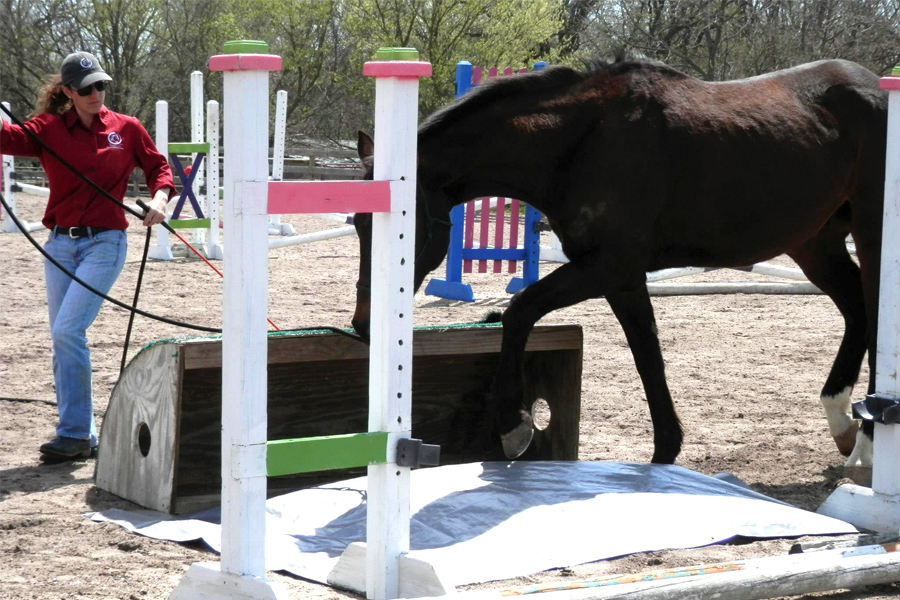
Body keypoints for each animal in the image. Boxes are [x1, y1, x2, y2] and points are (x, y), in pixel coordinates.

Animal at [350, 56, 884, 466]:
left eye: (400, 224)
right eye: (356, 220)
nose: (362, 325)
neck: (581, 142)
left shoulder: (609, 266)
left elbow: (521, 310)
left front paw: (513, 424)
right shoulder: (620, 278)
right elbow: (647, 356)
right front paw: (665, 453)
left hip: (871, 235)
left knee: (875, 317)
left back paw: (869, 440)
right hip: (815, 244)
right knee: (858, 312)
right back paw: (843, 424)